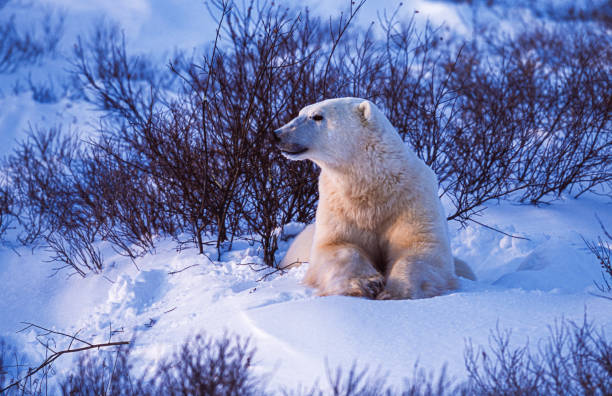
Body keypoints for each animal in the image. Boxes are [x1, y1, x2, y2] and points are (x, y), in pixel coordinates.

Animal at [274, 97, 476, 298]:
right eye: (300, 112)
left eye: (317, 116)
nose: (277, 134)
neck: (373, 185)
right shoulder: (338, 205)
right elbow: (337, 245)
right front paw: (367, 283)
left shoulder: (411, 199)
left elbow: (420, 247)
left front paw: (394, 292)